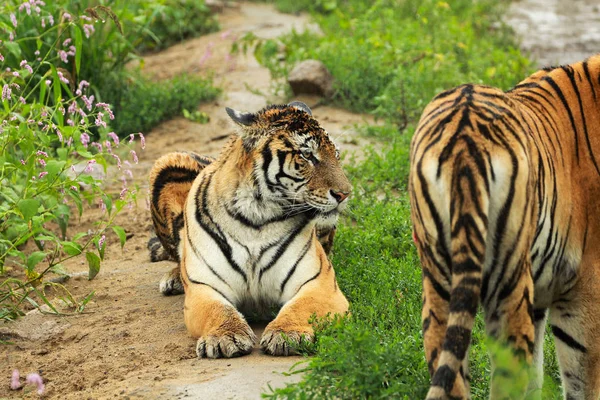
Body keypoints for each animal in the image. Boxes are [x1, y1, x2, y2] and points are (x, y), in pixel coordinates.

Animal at [148, 101, 352, 358]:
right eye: (307, 155)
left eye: (337, 156)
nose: (345, 193)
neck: (257, 218)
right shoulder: (205, 287)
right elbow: (218, 311)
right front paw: (225, 337)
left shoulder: (318, 283)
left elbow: (301, 307)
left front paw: (287, 333)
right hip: (165, 162)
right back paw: (175, 278)